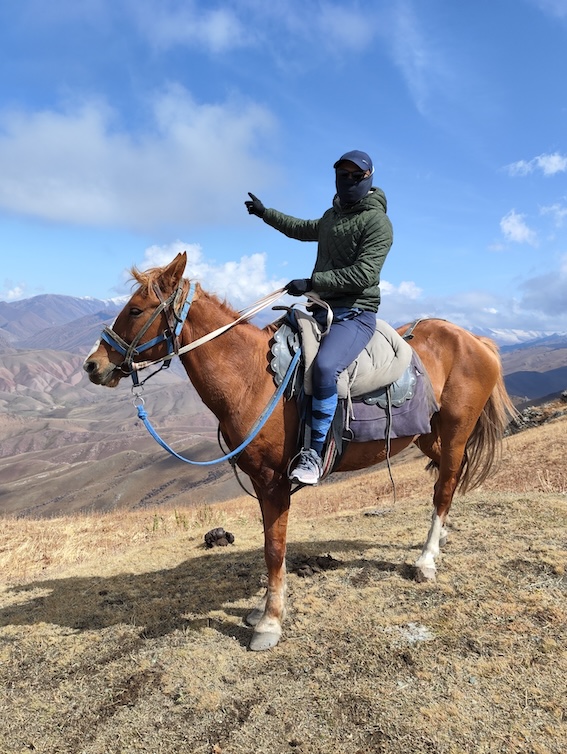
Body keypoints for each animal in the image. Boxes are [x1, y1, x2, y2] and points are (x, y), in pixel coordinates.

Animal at [83, 251, 516, 648]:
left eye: (135, 310)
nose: (92, 365)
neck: (251, 377)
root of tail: (474, 340)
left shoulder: (274, 481)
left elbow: (274, 549)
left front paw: (270, 623)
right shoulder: (262, 484)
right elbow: (269, 544)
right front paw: (263, 609)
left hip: (456, 431)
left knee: (445, 486)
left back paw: (425, 560)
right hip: (428, 436)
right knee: (448, 478)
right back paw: (438, 544)